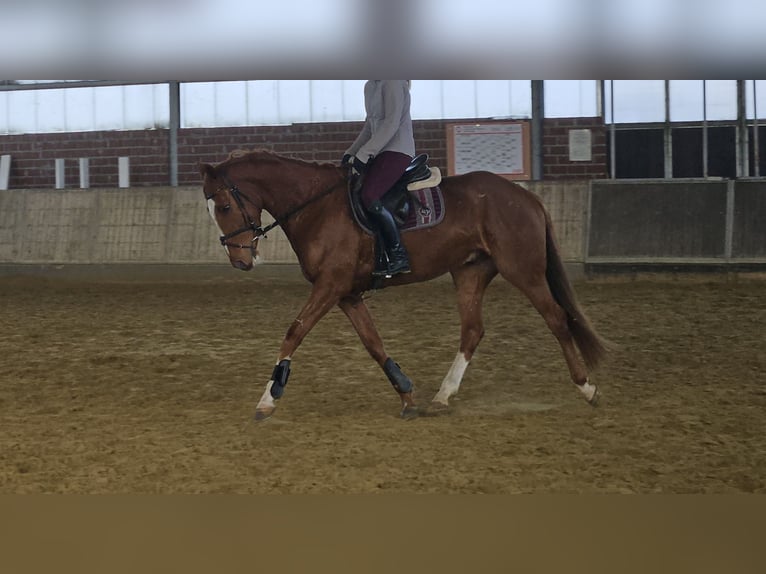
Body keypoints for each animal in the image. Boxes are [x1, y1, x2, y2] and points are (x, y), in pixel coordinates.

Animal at [199, 149, 608, 421]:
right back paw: (442, 395)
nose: (240, 261)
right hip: (470, 272)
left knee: (556, 318)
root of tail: (525, 195)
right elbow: (373, 344)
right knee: (473, 330)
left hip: (522, 270)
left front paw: (269, 397)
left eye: (224, 207)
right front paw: (407, 397)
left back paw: (586, 387)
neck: (317, 207)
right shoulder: (347, 294)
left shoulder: (330, 286)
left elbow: (294, 332)